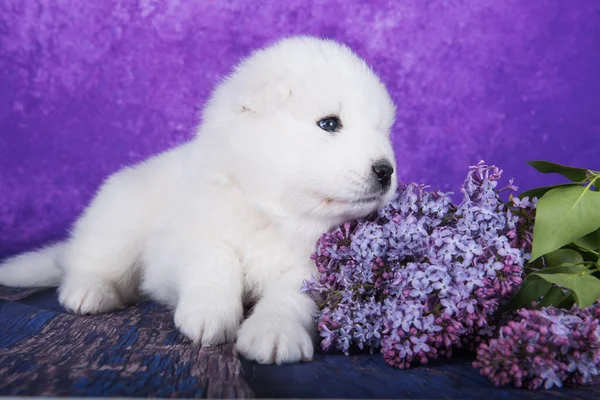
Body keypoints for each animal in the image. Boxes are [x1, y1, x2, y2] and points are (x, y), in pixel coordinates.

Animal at [1, 36, 398, 364]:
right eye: (329, 124)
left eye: (383, 130)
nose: (386, 170)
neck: (271, 212)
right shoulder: (179, 242)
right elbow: (215, 256)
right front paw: (210, 314)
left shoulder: (314, 270)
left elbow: (290, 296)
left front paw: (274, 333)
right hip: (119, 220)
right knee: (89, 261)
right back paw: (88, 292)